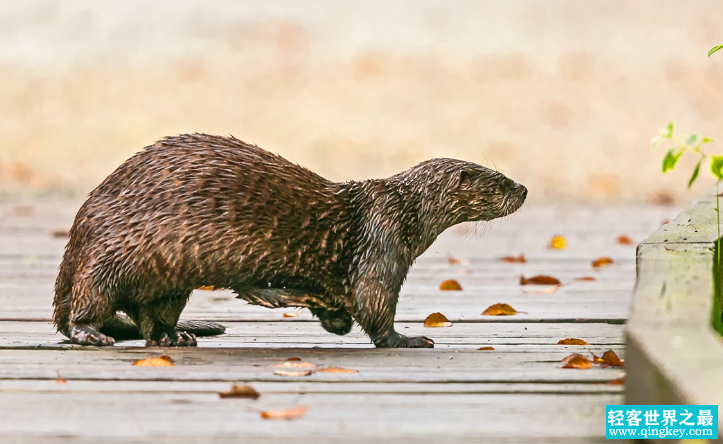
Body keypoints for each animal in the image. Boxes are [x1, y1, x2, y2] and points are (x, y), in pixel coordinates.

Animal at [52, 134, 528, 348]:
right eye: (500, 180)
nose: (523, 189)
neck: (403, 211)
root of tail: (78, 233)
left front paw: (332, 318)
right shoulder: (382, 244)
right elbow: (375, 305)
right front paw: (407, 340)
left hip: (168, 279)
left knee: (153, 318)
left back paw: (177, 337)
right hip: (111, 255)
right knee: (84, 305)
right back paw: (91, 333)